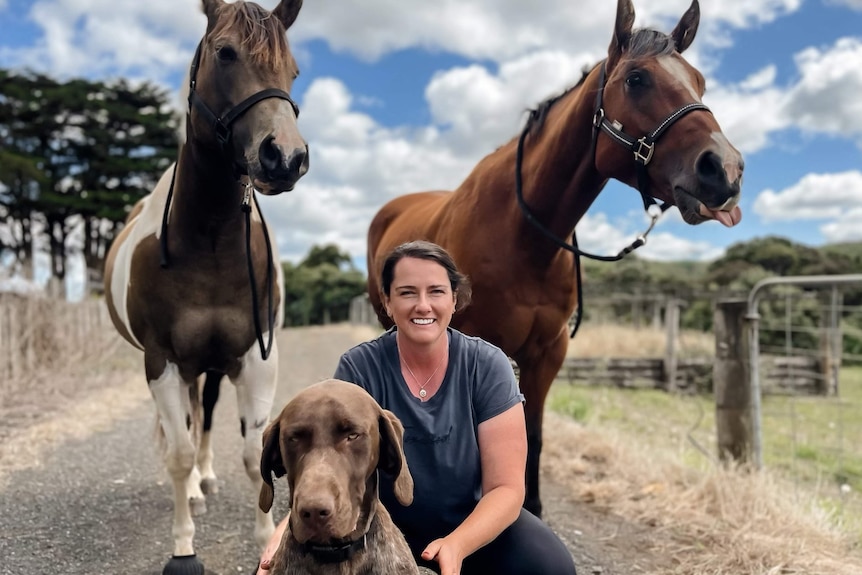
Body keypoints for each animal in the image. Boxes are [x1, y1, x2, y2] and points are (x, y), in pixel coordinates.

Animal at [104, 2, 308, 572]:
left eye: (293, 70)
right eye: (225, 52)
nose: (285, 157)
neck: (210, 245)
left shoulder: (258, 358)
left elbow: (255, 451)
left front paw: (265, 540)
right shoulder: (163, 361)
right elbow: (176, 453)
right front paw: (183, 545)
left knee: (206, 413)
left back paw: (207, 475)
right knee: (188, 422)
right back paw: (195, 487)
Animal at [364, 0, 744, 520]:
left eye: (700, 82)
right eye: (637, 79)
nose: (724, 170)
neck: (525, 238)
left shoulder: (547, 353)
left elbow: (532, 437)